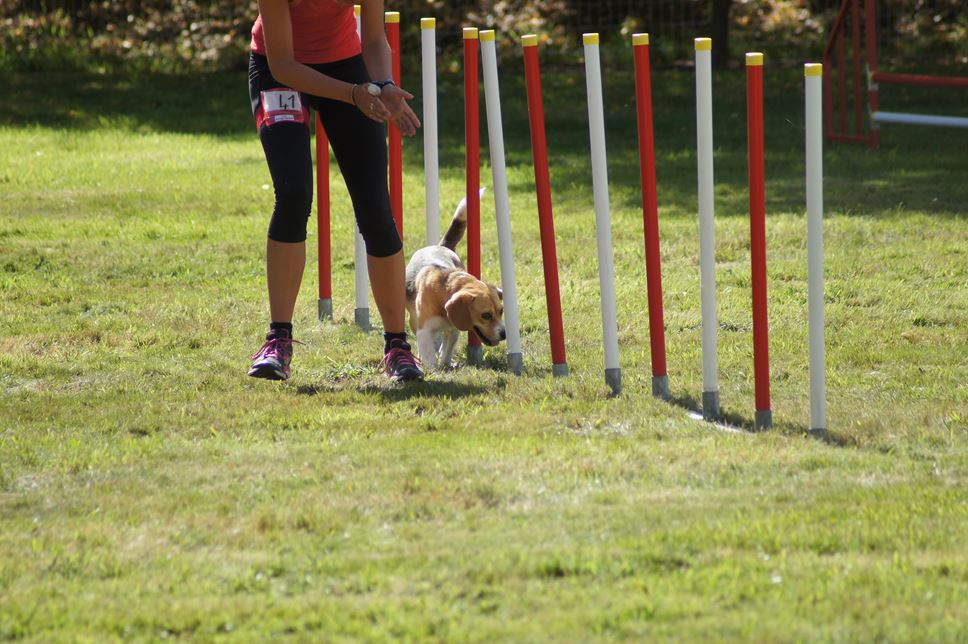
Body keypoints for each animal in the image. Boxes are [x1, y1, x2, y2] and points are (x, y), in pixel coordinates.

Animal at [404, 191, 506, 370]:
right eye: (486, 315)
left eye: (501, 311)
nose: (504, 334)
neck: (444, 289)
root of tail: (442, 245)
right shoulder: (424, 330)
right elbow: (428, 354)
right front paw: (433, 370)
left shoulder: (453, 330)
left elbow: (447, 350)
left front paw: (446, 364)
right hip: (413, 319)